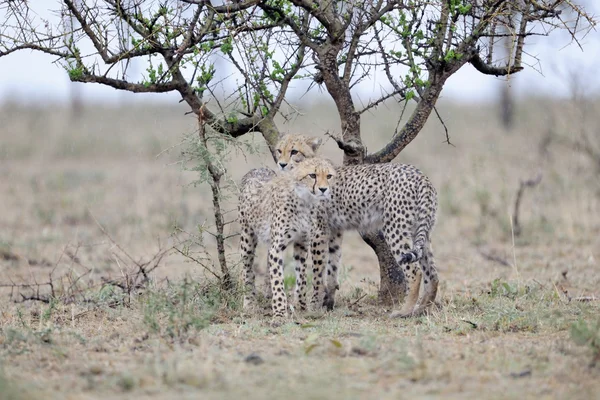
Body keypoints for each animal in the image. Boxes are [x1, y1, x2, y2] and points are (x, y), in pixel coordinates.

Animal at [237, 156, 336, 318]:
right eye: (312, 175)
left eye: (329, 176)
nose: (323, 189)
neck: (304, 200)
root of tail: (258, 169)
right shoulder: (276, 247)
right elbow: (278, 281)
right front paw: (279, 313)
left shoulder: (302, 243)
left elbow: (302, 277)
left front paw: (301, 306)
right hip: (247, 237)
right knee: (247, 270)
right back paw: (249, 302)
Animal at [274, 136, 438, 318]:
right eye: (279, 150)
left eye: (294, 151)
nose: (281, 164)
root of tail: (419, 174)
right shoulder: (335, 230)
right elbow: (332, 267)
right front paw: (328, 303)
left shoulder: (318, 231)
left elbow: (318, 271)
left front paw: (314, 304)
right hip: (421, 230)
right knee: (432, 273)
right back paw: (422, 309)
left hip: (395, 228)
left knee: (415, 271)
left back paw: (405, 311)